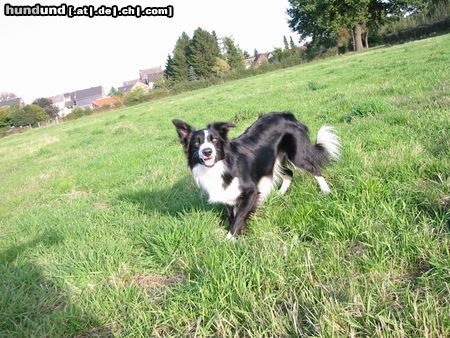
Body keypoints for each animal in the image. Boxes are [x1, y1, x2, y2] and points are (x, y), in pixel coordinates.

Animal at [173, 112, 342, 239]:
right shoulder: (228, 194)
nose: (207, 151)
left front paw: (229, 240)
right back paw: (280, 193)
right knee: (289, 173)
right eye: (196, 143)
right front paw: (238, 235)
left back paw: (325, 191)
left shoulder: (251, 191)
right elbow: (232, 216)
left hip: (297, 155)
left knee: (314, 168)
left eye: (213, 140)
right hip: (272, 161)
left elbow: (239, 217)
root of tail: (287, 115)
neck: (220, 166)